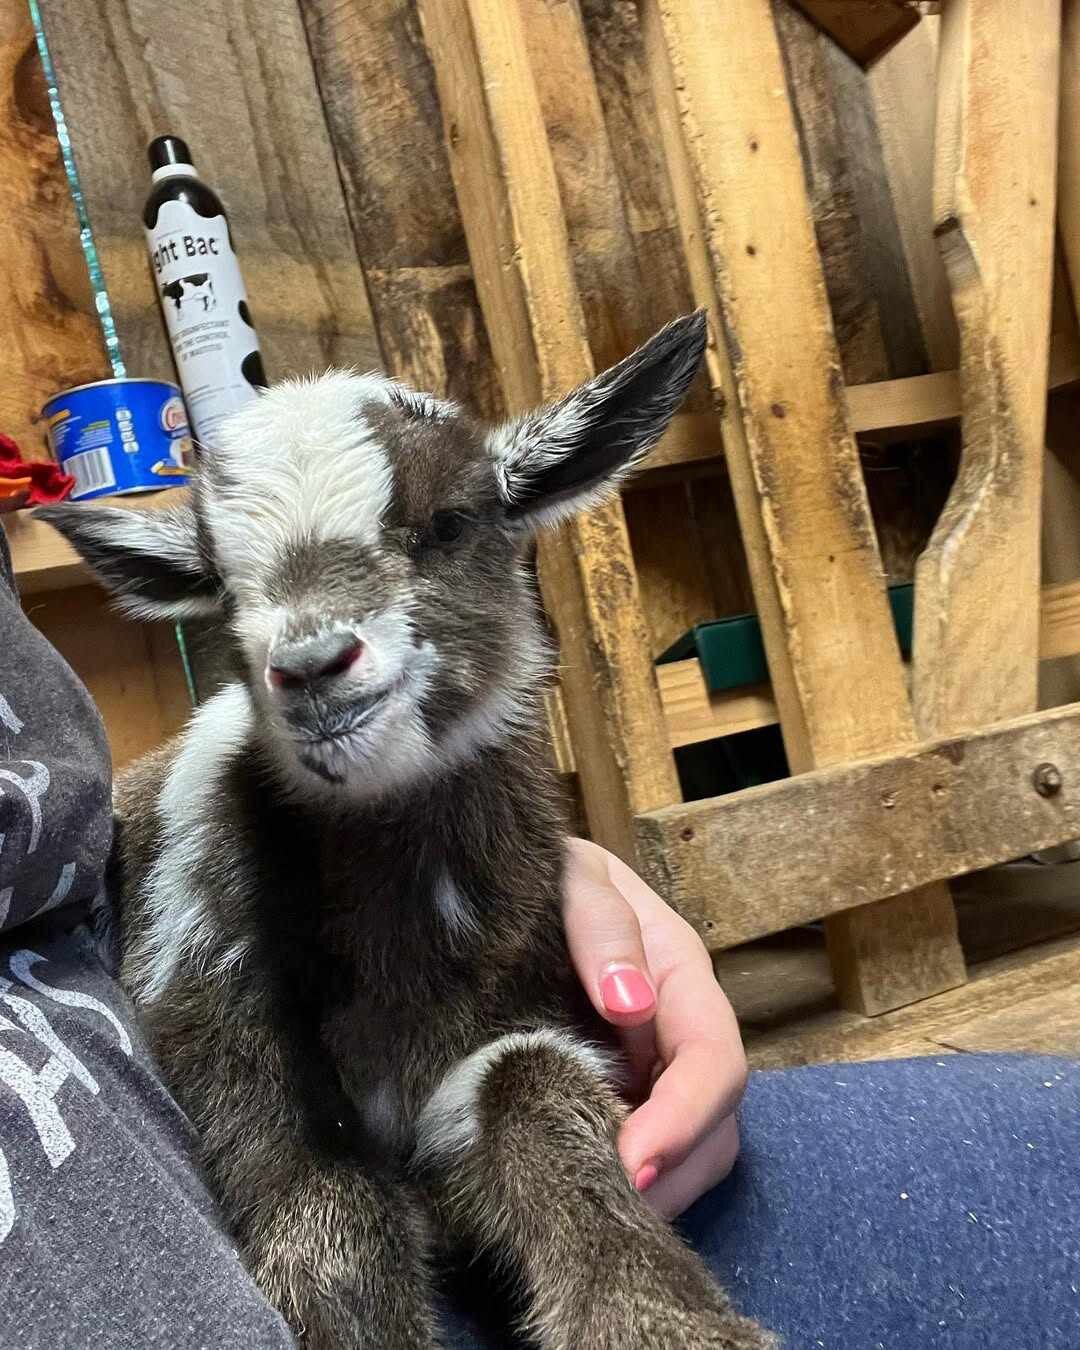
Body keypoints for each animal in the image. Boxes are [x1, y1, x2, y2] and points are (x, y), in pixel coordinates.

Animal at [42, 312, 773, 1349]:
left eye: (451, 523)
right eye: (221, 581)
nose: (311, 666)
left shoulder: (521, 1000)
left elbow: (531, 1087)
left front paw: (658, 1318)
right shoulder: (214, 1006)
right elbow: (327, 1220)